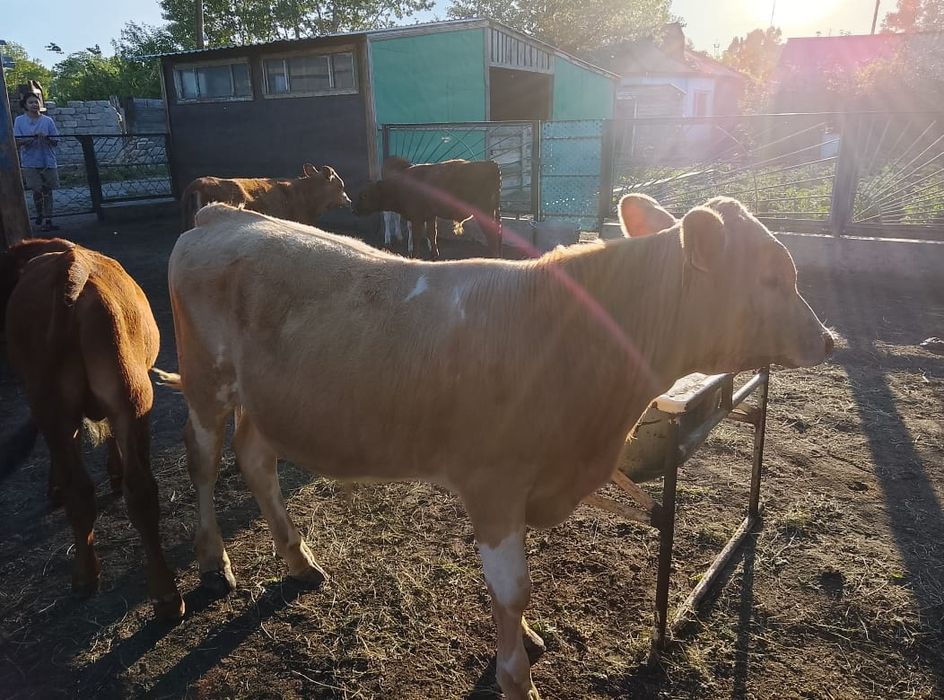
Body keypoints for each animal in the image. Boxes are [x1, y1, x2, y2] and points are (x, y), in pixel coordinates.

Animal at [0, 238, 184, 621]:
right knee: (126, 491)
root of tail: (70, 267)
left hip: (83, 405)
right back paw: (153, 592)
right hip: (128, 398)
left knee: (102, 490)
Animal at [166, 196, 833, 699]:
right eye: (771, 277)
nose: (826, 338)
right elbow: (514, 590)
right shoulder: (494, 486)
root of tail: (225, 215)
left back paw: (299, 560)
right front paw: (519, 680)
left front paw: (527, 639)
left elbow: (511, 596)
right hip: (204, 382)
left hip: (268, 401)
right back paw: (213, 561)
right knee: (203, 460)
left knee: (256, 458)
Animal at [353, 157, 502, 259]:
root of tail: (490, 164)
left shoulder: (417, 218)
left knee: (491, 235)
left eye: (364, 195)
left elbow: (417, 237)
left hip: (484, 213)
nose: (353, 210)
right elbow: (432, 235)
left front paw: (414, 255)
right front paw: (435, 255)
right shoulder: (430, 216)